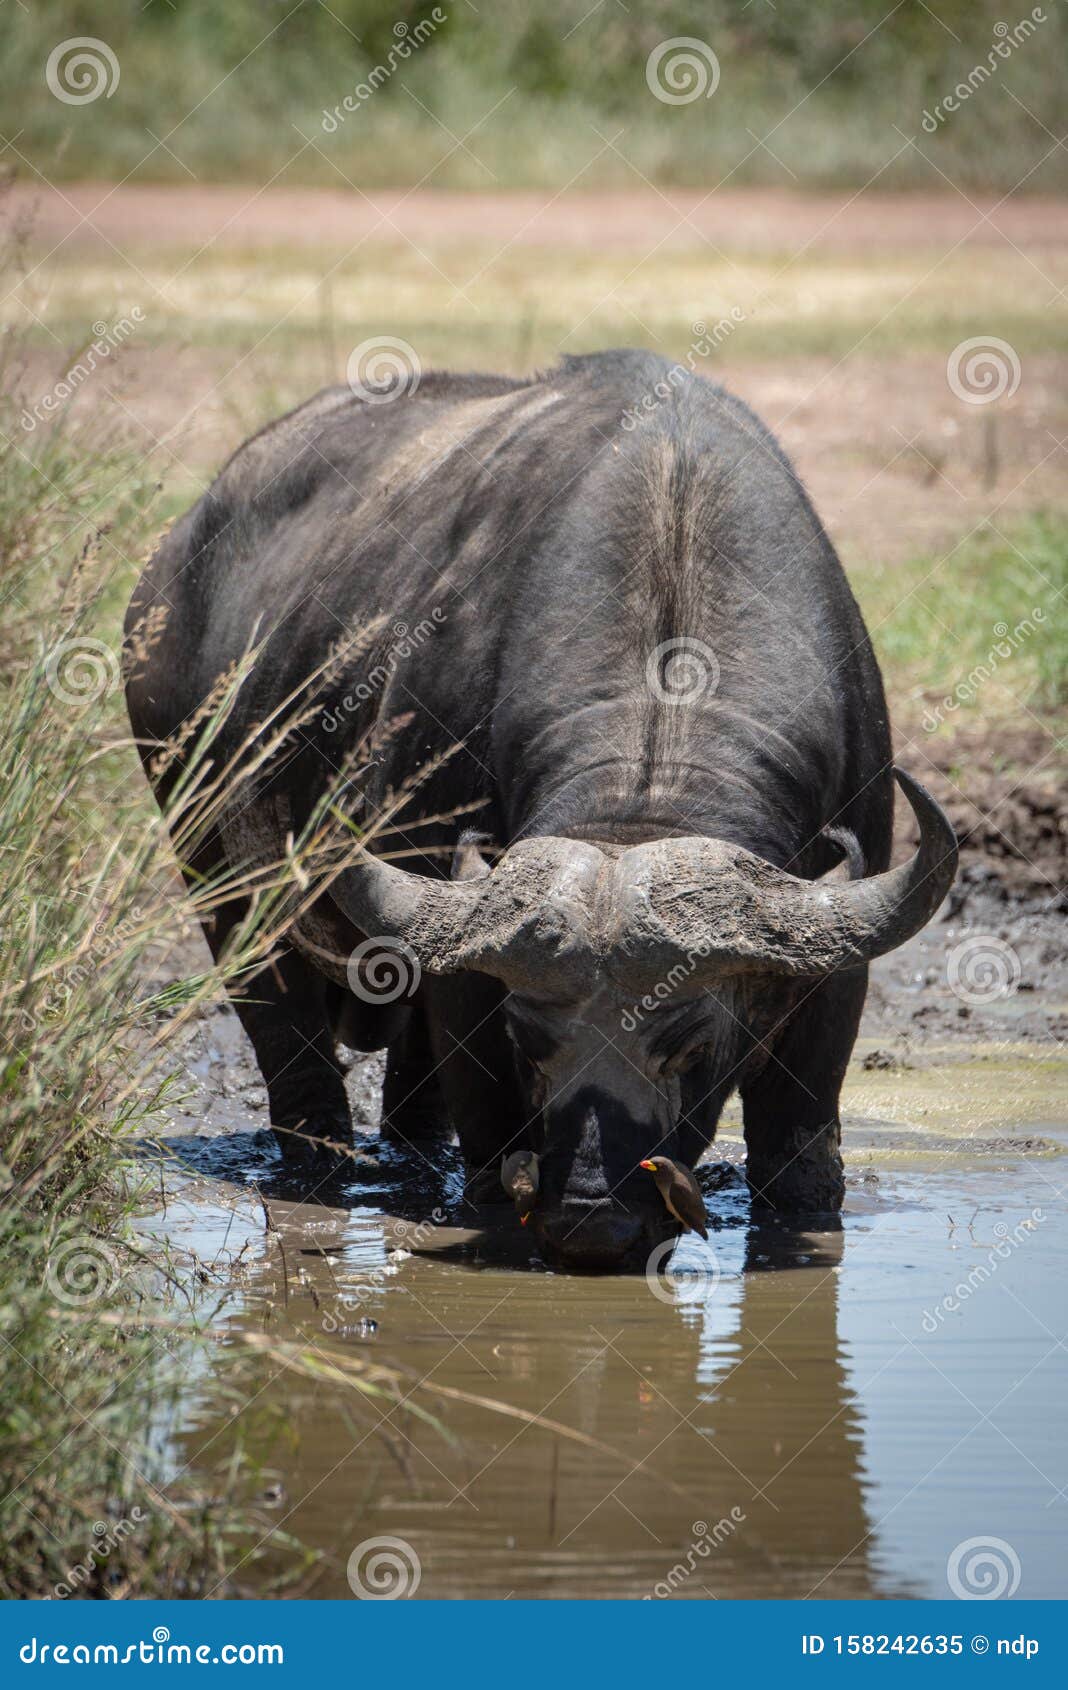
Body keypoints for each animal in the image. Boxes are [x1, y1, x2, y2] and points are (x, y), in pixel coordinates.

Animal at [127, 346, 959, 1270]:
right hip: (215, 870)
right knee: (289, 1038)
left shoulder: (837, 970)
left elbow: (801, 1160)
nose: (594, 1215)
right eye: (529, 1041)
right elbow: (489, 1138)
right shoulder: (462, 969)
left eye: (692, 1044)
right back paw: (321, 1167)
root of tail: (174, 564)